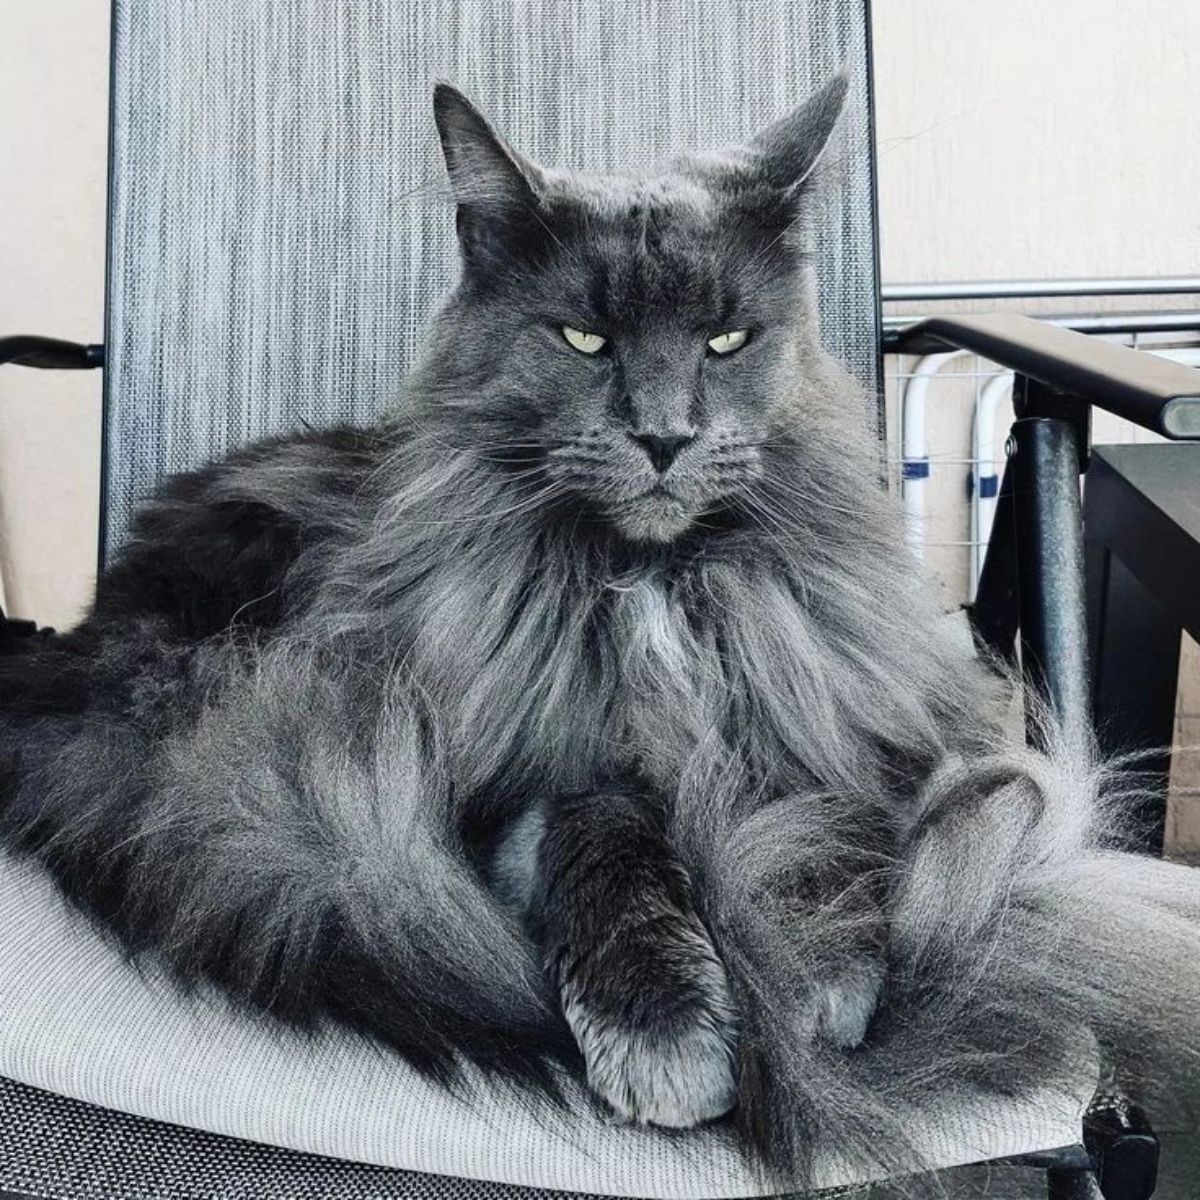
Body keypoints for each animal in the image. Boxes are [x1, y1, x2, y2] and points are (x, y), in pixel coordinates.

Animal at [2, 79, 1200, 1185]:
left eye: (726, 339)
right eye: (584, 337)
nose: (665, 437)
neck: (654, 588)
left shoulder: (836, 703)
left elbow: (833, 817)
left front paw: (809, 954)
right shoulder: (522, 768)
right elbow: (610, 849)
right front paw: (669, 1034)